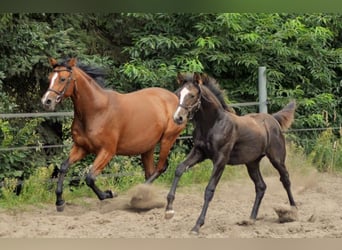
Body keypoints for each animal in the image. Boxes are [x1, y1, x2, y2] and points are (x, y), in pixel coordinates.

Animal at [41, 58, 186, 211]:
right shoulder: (81, 147)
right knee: (151, 172)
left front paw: (109, 194)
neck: (96, 111)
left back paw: (138, 197)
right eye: (50, 78)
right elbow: (63, 167)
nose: (46, 101)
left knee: (160, 168)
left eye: (63, 79)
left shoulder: (107, 151)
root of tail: (175, 98)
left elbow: (90, 178)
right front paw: (59, 202)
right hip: (148, 147)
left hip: (167, 139)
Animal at [164, 72, 296, 234]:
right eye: (178, 94)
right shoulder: (199, 153)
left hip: (277, 158)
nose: (178, 118)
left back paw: (293, 211)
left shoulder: (220, 160)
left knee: (285, 179)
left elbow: (209, 190)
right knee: (261, 186)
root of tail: (273, 119)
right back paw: (251, 219)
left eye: (192, 95)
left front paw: (197, 225)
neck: (213, 124)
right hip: (252, 163)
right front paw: (169, 211)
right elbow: (179, 169)